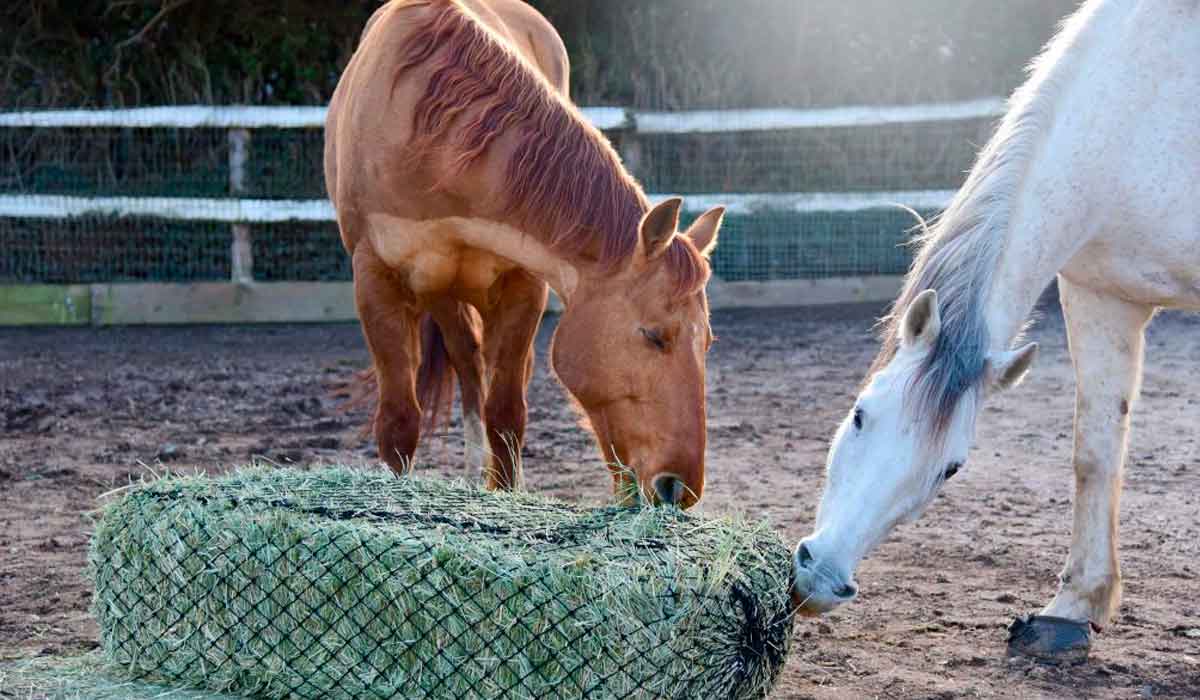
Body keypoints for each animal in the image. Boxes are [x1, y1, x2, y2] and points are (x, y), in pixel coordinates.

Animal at [324, 0, 724, 506]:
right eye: (654, 336)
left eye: (707, 341)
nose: (678, 488)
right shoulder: (375, 279)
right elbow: (399, 420)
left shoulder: (525, 283)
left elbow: (506, 412)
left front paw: (506, 492)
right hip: (441, 294)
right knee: (467, 363)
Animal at [792, 0, 1195, 667]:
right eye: (859, 414)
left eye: (951, 469)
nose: (820, 579)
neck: (1140, 109)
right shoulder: (1101, 298)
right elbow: (1095, 454)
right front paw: (1070, 611)